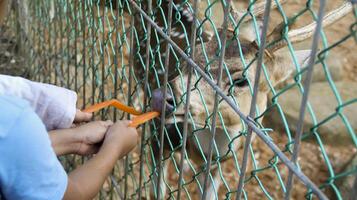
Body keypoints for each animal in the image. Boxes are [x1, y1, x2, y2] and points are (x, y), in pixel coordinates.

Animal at [137, 1, 354, 198]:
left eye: (241, 81)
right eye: (189, 56)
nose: (160, 97)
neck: (204, 151)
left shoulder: (216, 166)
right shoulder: (158, 139)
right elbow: (156, 192)